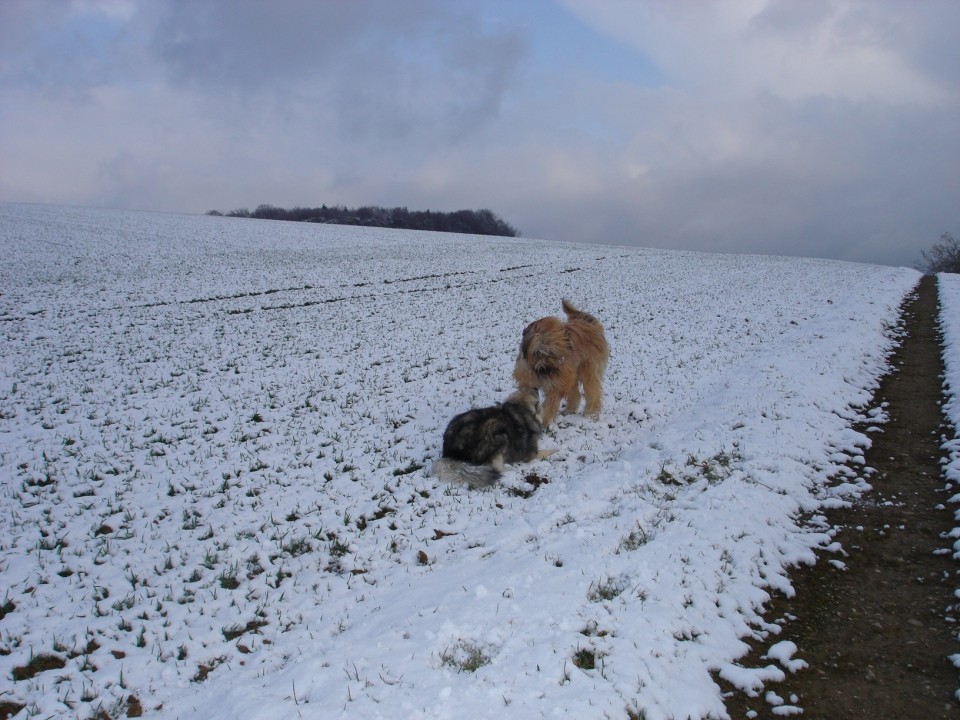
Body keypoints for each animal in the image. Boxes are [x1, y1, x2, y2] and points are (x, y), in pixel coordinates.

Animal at [510, 298, 608, 428]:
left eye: (552, 353)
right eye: (538, 352)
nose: (545, 370)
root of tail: (590, 324)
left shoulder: (555, 386)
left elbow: (549, 405)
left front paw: (543, 422)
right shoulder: (527, 382)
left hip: (588, 370)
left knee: (593, 391)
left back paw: (591, 414)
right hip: (571, 374)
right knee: (575, 393)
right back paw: (570, 410)